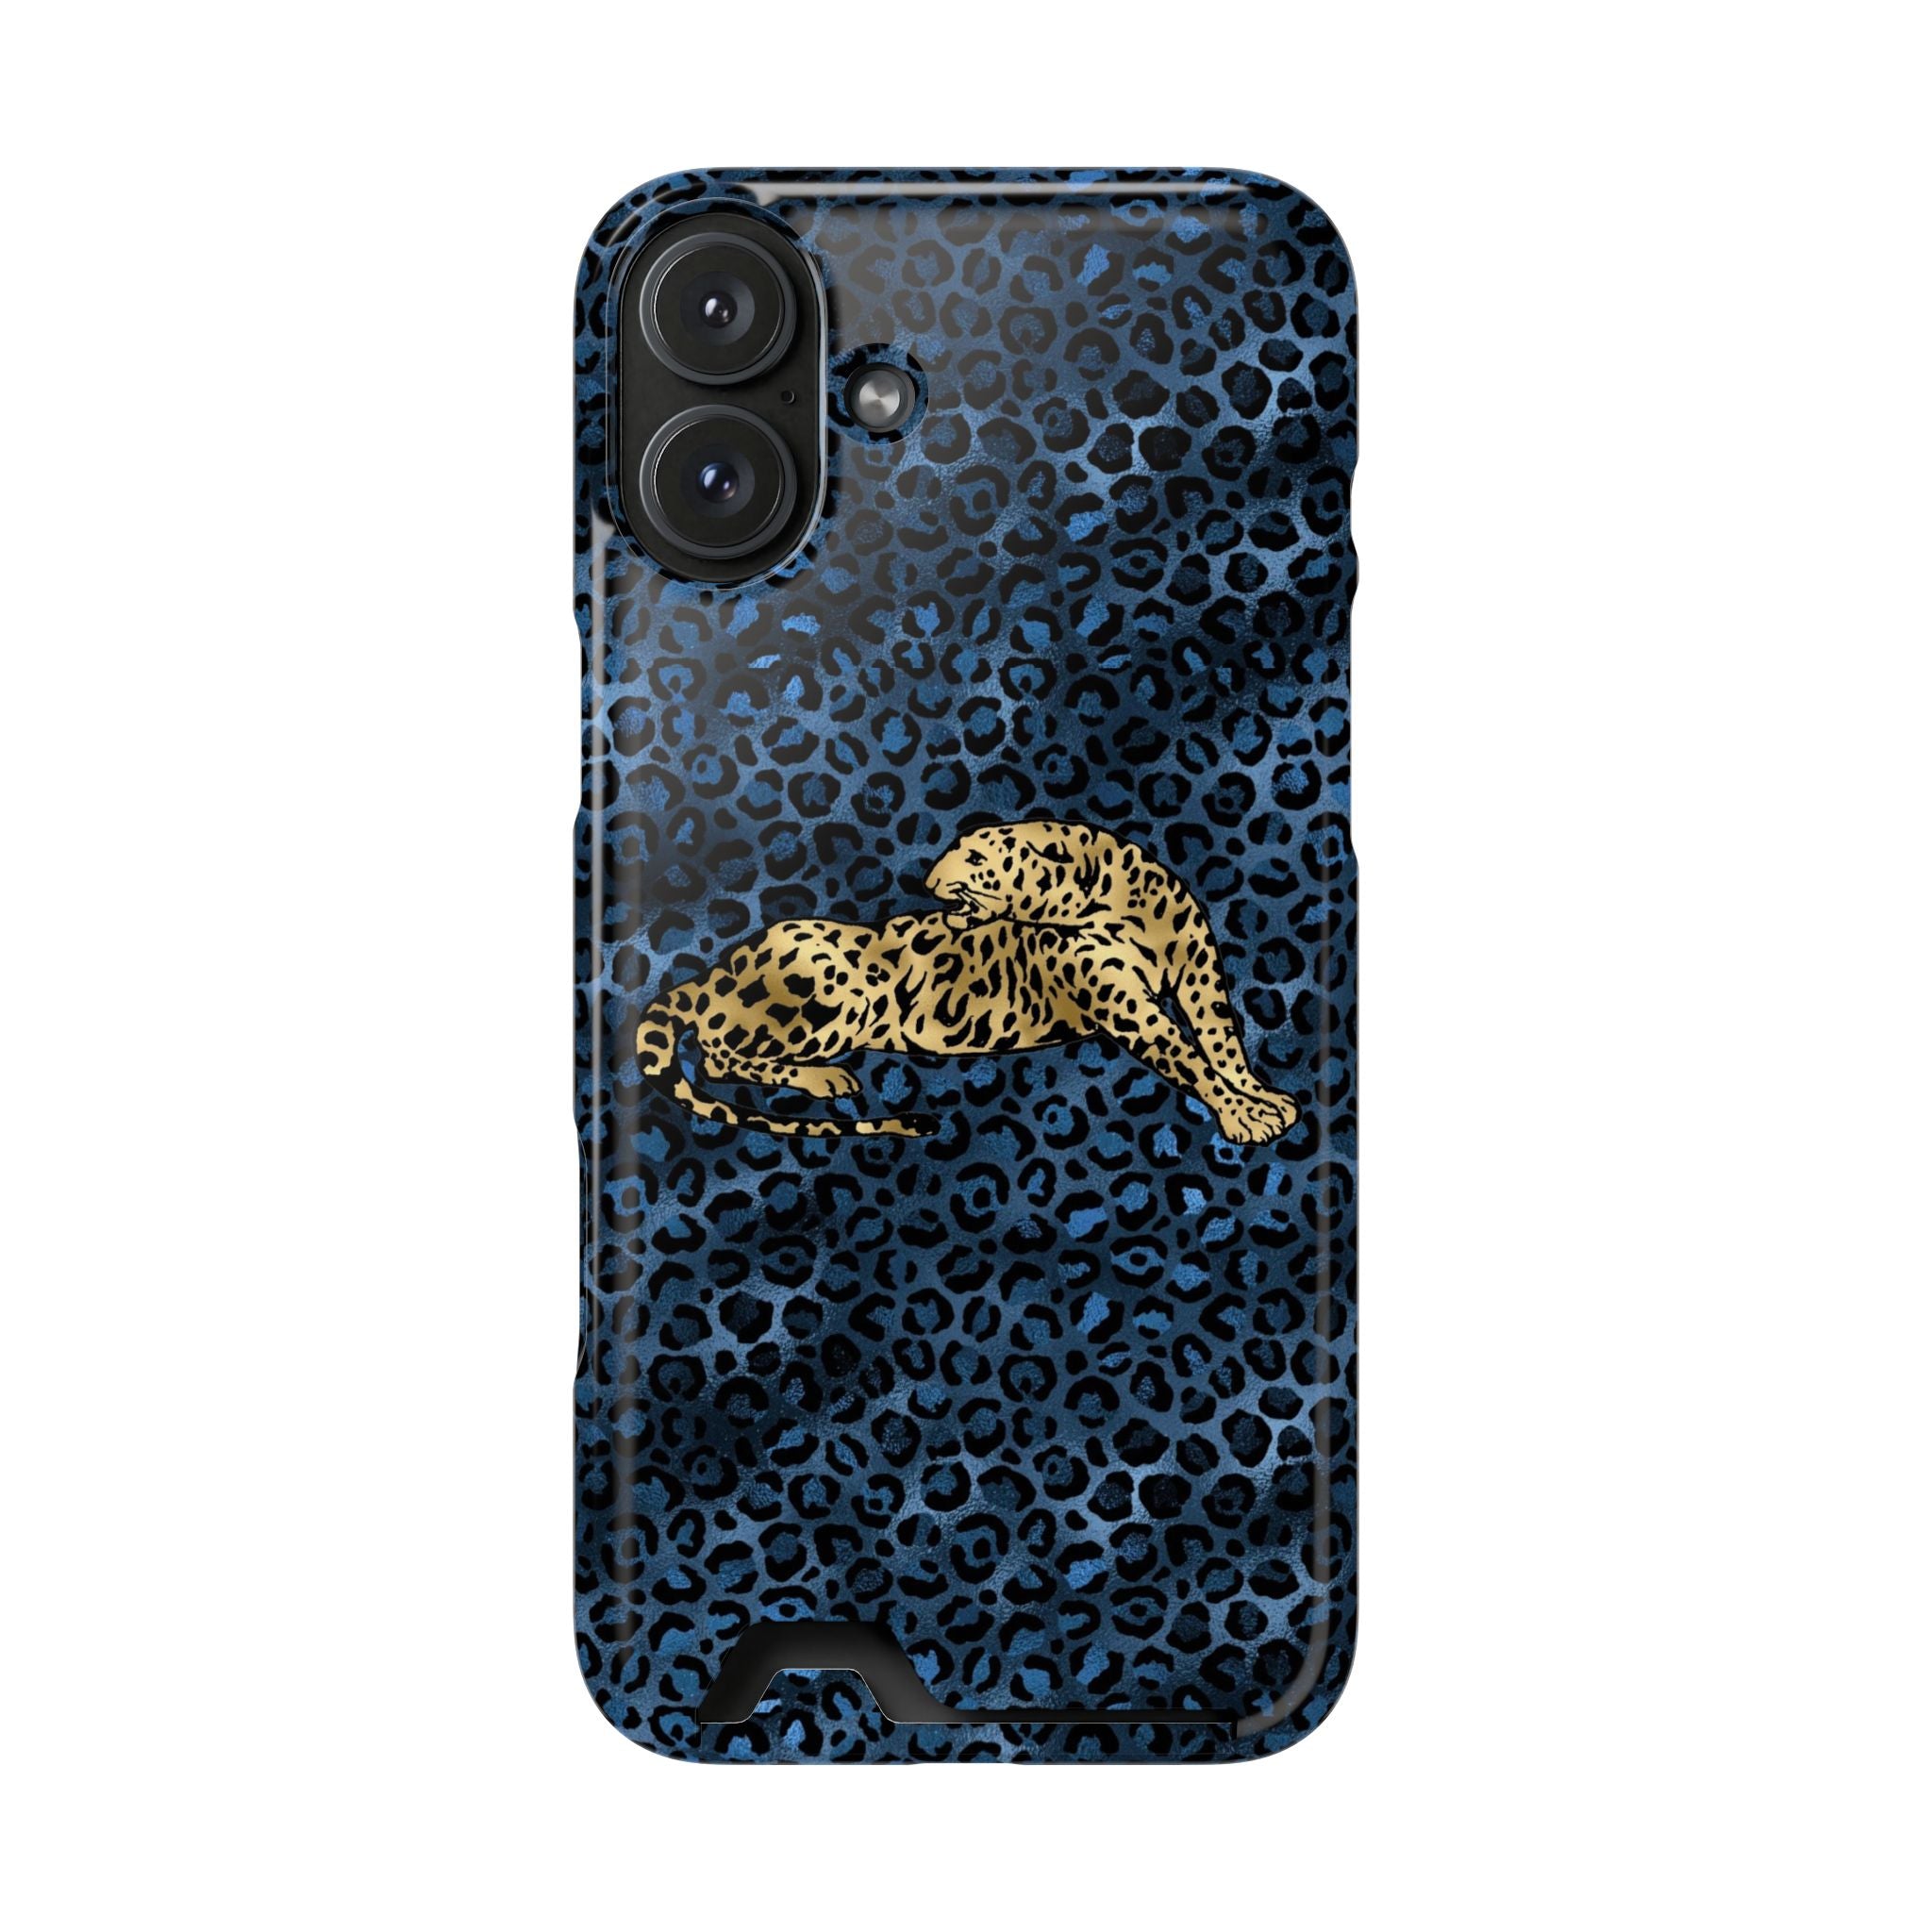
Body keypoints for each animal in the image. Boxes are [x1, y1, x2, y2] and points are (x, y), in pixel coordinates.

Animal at [634, 821, 1300, 1144]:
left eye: (977, 859)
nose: (928, 879)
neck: (1122, 904)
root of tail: (719, 968)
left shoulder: (1199, 972)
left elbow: (1222, 1041)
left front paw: (1260, 1096)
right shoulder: (1126, 1004)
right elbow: (1185, 1055)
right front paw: (1243, 1117)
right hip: (840, 992)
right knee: (718, 1055)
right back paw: (826, 1078)